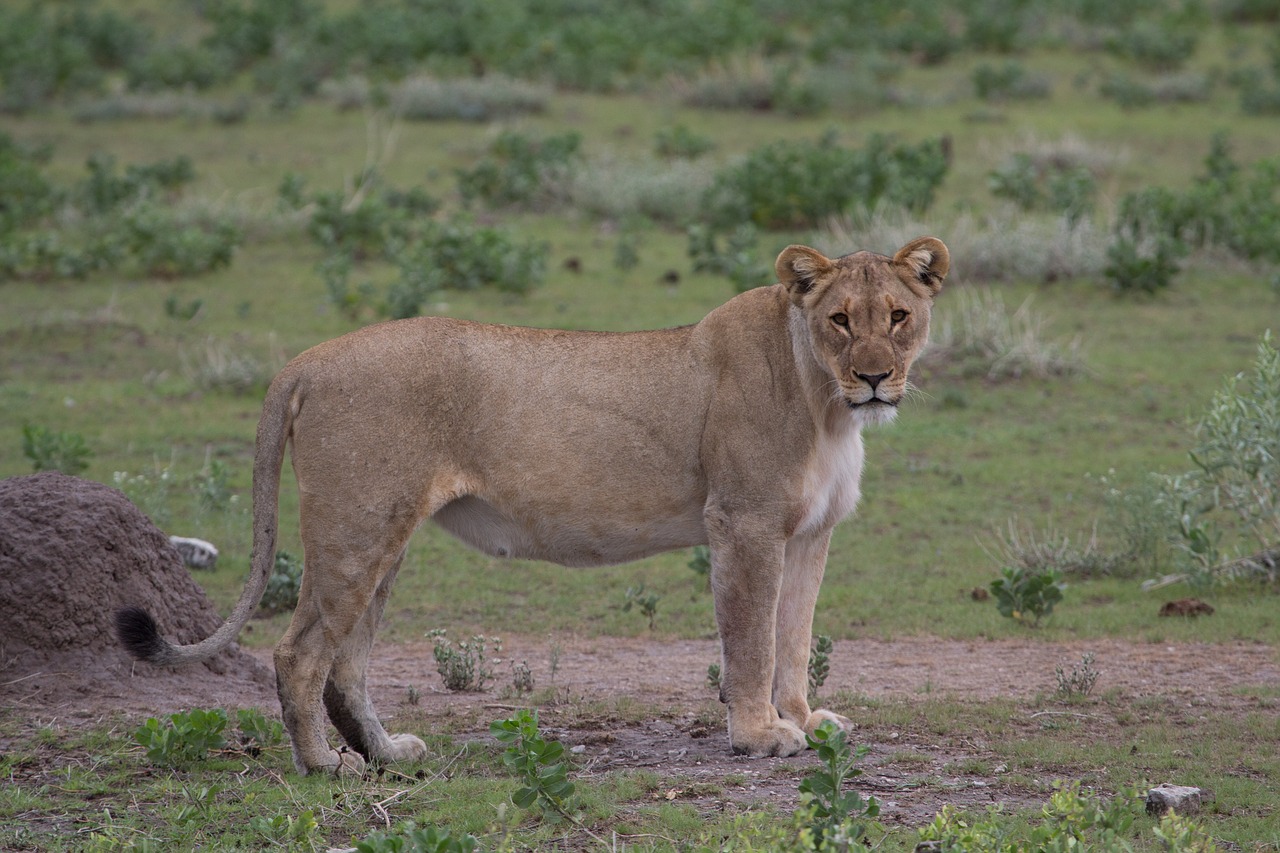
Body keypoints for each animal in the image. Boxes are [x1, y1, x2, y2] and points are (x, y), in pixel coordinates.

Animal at [115, 235, 947, 773]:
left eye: (897, 316)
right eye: (840, 319)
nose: (875, 377)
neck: (826, 402)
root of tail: (307, 359)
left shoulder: (808, 533)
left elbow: (795, 637)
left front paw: (805, 719)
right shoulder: (743, 523)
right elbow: (751, 641)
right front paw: (758, 735)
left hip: (383, 536)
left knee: (346, 662)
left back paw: (388, 754)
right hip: (356, 528)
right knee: (299, 652)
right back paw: (324, 766)